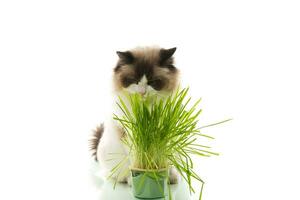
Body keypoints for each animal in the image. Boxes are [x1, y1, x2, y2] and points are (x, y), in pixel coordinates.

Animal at [90, 45, 180, 184]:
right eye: (135, 81)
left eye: (152, 82)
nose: (142, 93)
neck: (147, 110)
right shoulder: (129, 135)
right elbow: (136, 161)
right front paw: (137, 179)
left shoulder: (166, 134)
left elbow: (164, 159)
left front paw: (167, 177)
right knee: (115, 175)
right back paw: (126, 180)